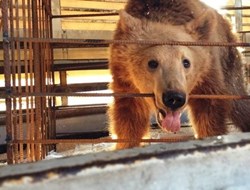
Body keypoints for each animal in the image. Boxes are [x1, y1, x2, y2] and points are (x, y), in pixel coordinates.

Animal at [108, 0, 250, 150]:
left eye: (186, 62)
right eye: (152, 63)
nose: (174, 98)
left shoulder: (208, 74)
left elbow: (209, 115)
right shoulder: (125, 78)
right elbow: (129, 118)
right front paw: (124, 145)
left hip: (229, 61)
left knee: (239, 103)